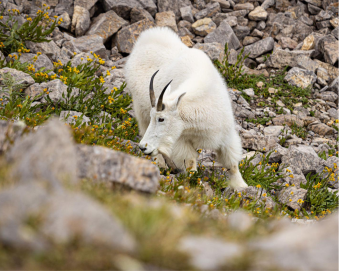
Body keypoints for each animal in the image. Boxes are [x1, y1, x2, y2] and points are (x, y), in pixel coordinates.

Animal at [123, 27, 248, 189]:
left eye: (161, 119)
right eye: (155, 117)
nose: (143, 147)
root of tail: (146, 37)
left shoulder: (226, 135)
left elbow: (232, 163)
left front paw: (241, 186)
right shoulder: (181, 139)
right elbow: (190, 161)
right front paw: (193, 183)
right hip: (140, 110)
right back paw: (161, 164)